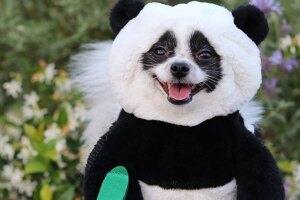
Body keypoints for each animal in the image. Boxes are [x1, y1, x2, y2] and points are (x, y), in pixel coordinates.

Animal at [72, 0, 284, 200]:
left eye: (205, 54)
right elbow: (105, 169)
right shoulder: (129, 130)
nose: (180, 68)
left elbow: (261, 173)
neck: (181, 123)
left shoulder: (234, 131)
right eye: (159, 51)